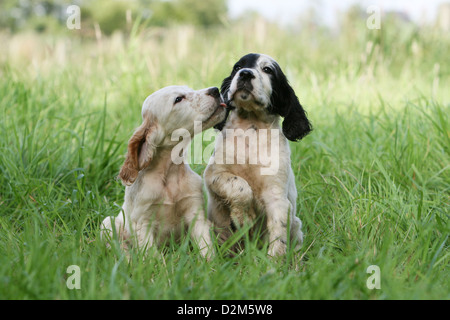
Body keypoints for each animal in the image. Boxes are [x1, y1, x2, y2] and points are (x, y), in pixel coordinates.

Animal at [206, 53, 312, 256]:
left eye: (267, 70)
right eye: (238, 67)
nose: (245, 74)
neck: (250, 130)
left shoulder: (277, 198)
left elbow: (278, 234)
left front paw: (273, 262)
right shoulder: (213, 175)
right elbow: (240, 186)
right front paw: (244, 218)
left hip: (296, 224)